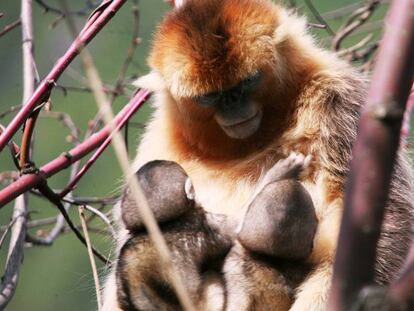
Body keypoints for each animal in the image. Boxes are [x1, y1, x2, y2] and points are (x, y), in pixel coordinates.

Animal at [101, 0, 414, 310]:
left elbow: (387, 216)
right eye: (209, 97)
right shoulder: (159, 141)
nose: (232, 104)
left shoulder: (337, 99)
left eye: (247, 82)